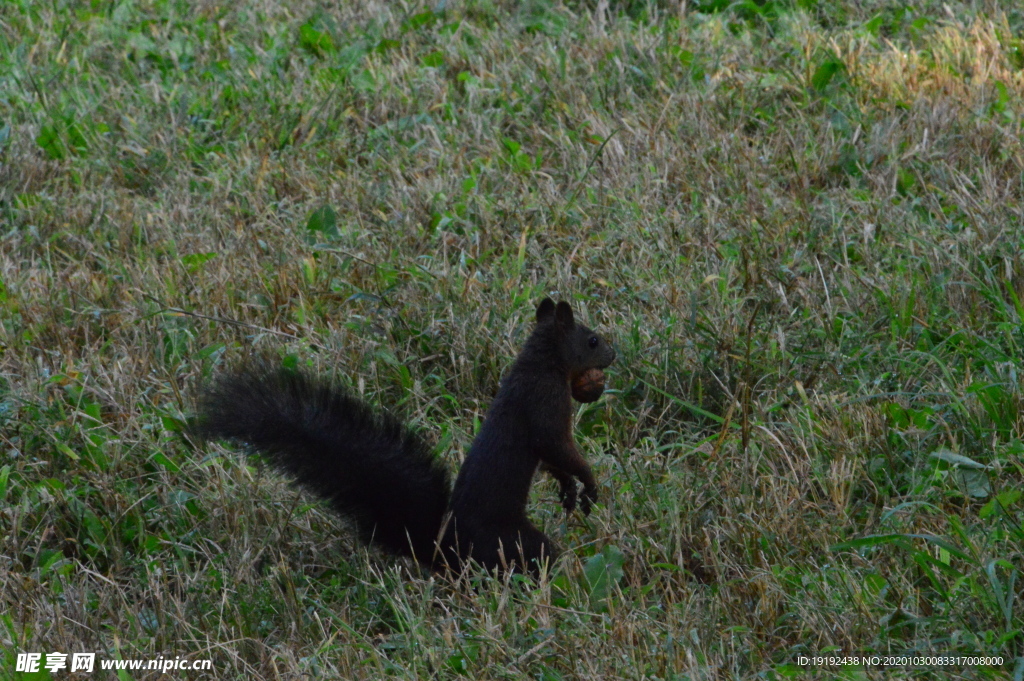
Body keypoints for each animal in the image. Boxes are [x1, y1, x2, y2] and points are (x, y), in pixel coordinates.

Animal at [193, 301, 614, 569]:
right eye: (591, 340)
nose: (613, 355)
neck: (539, 361)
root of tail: (445, 547)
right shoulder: (546, 403)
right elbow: (556, 445)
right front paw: (588, 483)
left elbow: (551, 460)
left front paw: (568, 489)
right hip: (509, 541)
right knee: (534, 555)